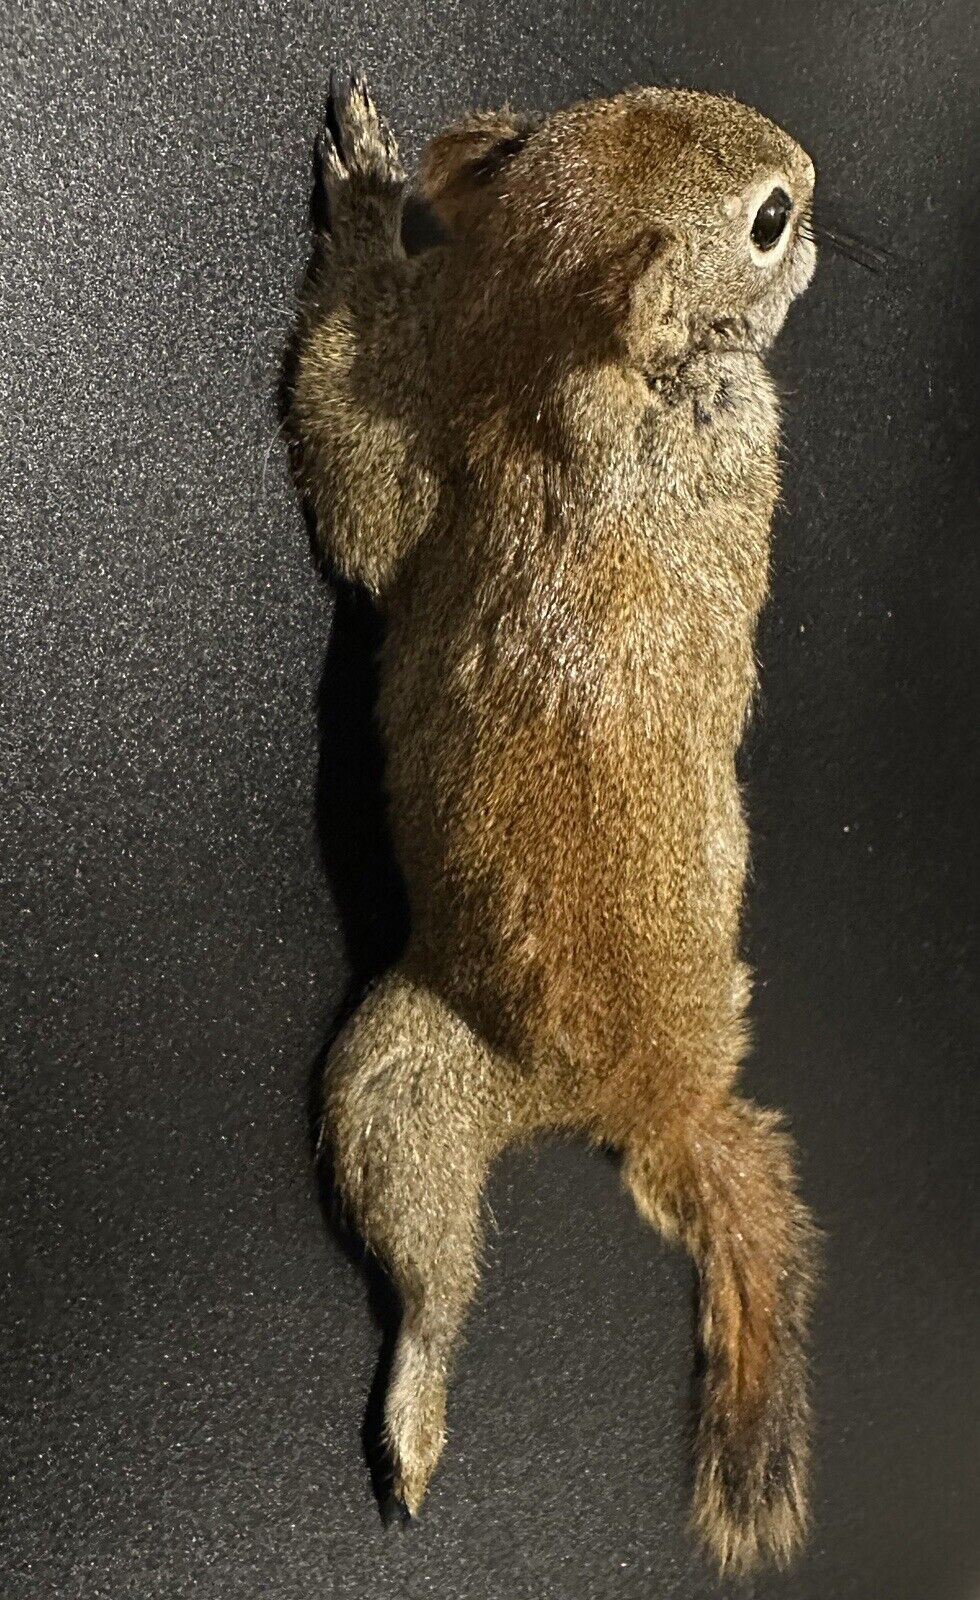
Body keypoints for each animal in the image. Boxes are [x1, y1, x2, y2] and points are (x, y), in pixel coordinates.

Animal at [286, 75, 820, 1575]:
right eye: (767, 222)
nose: (815, 186)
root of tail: (644, 1092)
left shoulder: (445, 449)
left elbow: (356, 472)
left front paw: (366, 197)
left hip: (396, 1067)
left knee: (428, 1288)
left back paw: (410, 1414)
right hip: (417, 1092)